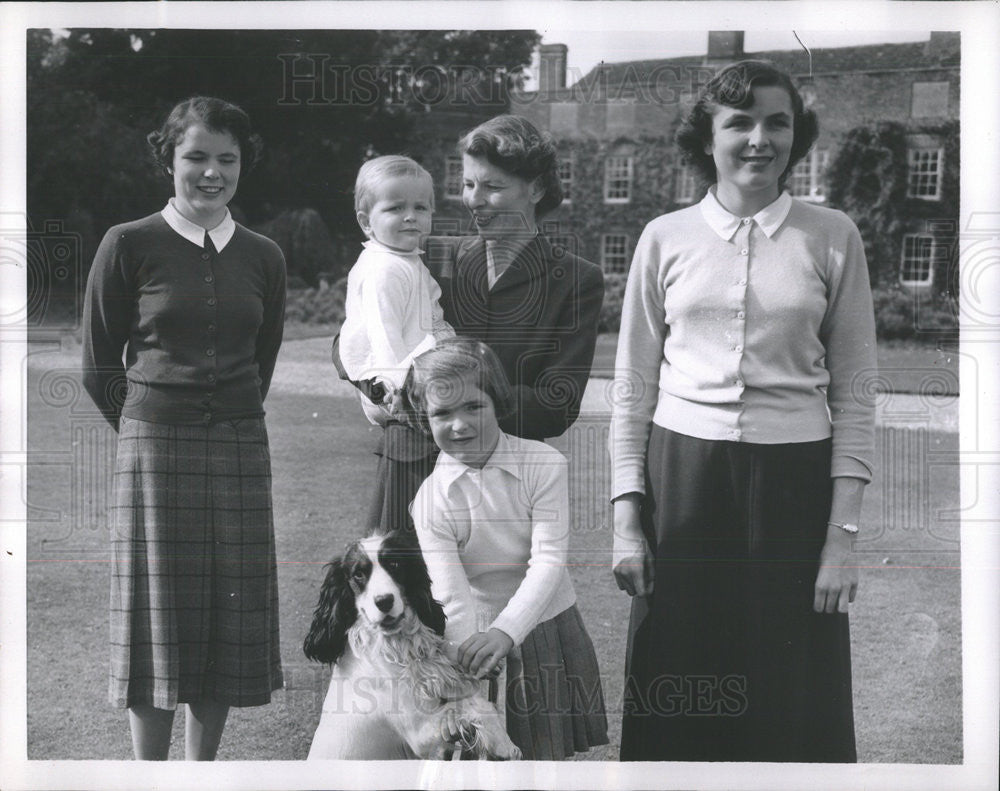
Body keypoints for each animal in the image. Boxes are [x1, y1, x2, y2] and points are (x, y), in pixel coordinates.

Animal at [300, 532, 520, 760]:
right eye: (358, 574)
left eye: (395, 564)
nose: (384, 601)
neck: (396, 646)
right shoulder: (419, 733)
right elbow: (474, 705)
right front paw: (504, 744)